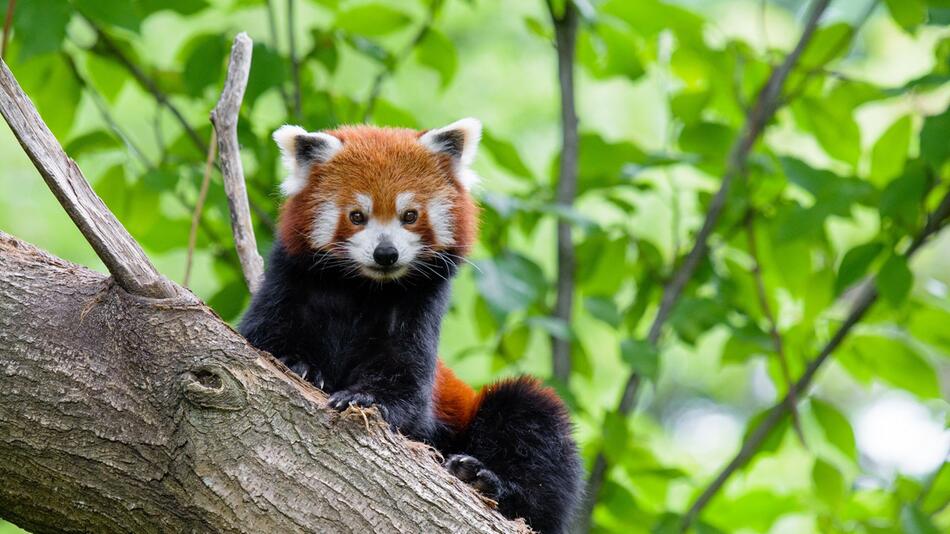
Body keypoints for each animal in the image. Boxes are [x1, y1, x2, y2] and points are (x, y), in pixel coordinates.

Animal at [240, 119, 580, 532]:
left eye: (410, 215)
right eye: (357, 216)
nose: (386, 253)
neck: (364, 289)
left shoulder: (418, 313)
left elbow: (406, 387)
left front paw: (364, 398)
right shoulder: (289, 286)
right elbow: (264, 336)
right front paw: (296, 363)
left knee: (532, 419)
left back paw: (486, 480)